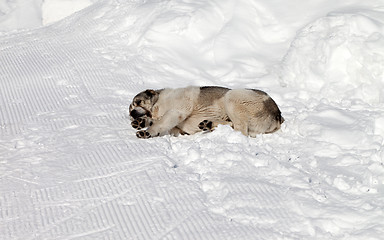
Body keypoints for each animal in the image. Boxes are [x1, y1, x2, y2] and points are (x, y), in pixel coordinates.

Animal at [130, 86, 284, 139]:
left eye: (138, 102)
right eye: (130, 109)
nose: (131, 114)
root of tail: (278, 115)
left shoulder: (176, 111)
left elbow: (160, 123)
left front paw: (147, 131)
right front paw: (141, 122)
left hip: (232, 96)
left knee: (240, 130)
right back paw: (208, 124)